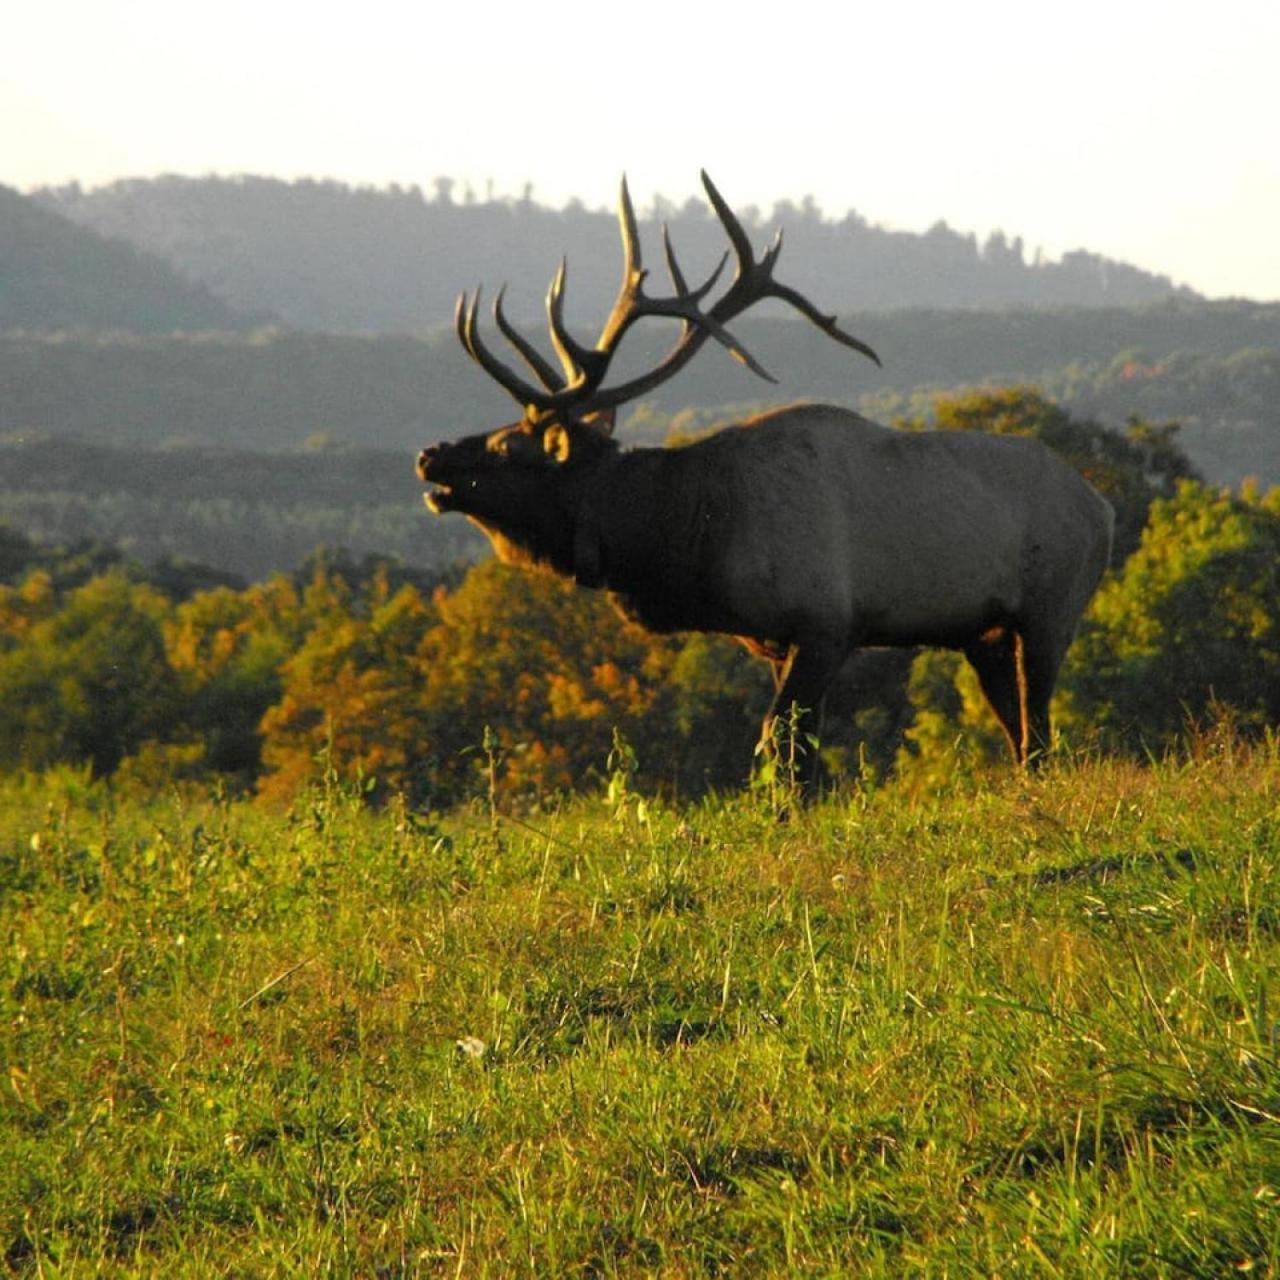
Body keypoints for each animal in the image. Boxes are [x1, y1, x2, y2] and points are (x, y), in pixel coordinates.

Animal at [417, 170, 1111, 768]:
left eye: (511, 446)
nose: (431, 455)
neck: (697, 531)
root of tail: (1103, 507)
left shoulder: (827, 623)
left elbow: (780, 744)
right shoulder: (774, 640)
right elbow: (794, 753)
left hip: (1050, 612)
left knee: (1039, 732)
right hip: (984, 635)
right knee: (1021, 734)